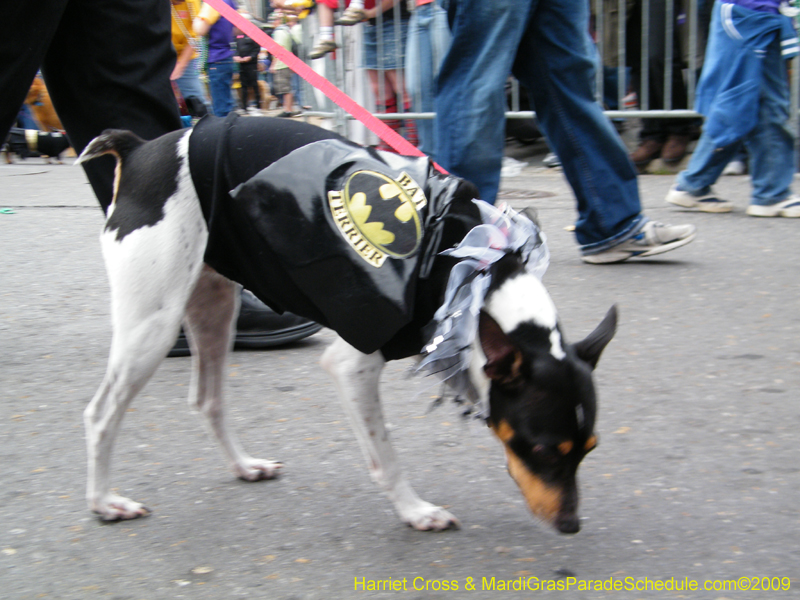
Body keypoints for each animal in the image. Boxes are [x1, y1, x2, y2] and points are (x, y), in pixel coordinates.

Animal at [78, 115, 616, 532]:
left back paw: (244, 466)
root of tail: (142, 149)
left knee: (208, 400)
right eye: (543, 449)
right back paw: (105, 502)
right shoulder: (351, 367)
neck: (472, 271)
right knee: (101, 415)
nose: (571, 525)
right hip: (151, 327)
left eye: (588, 449)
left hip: (213, 307)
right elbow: (386, 456)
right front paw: (414, 511)